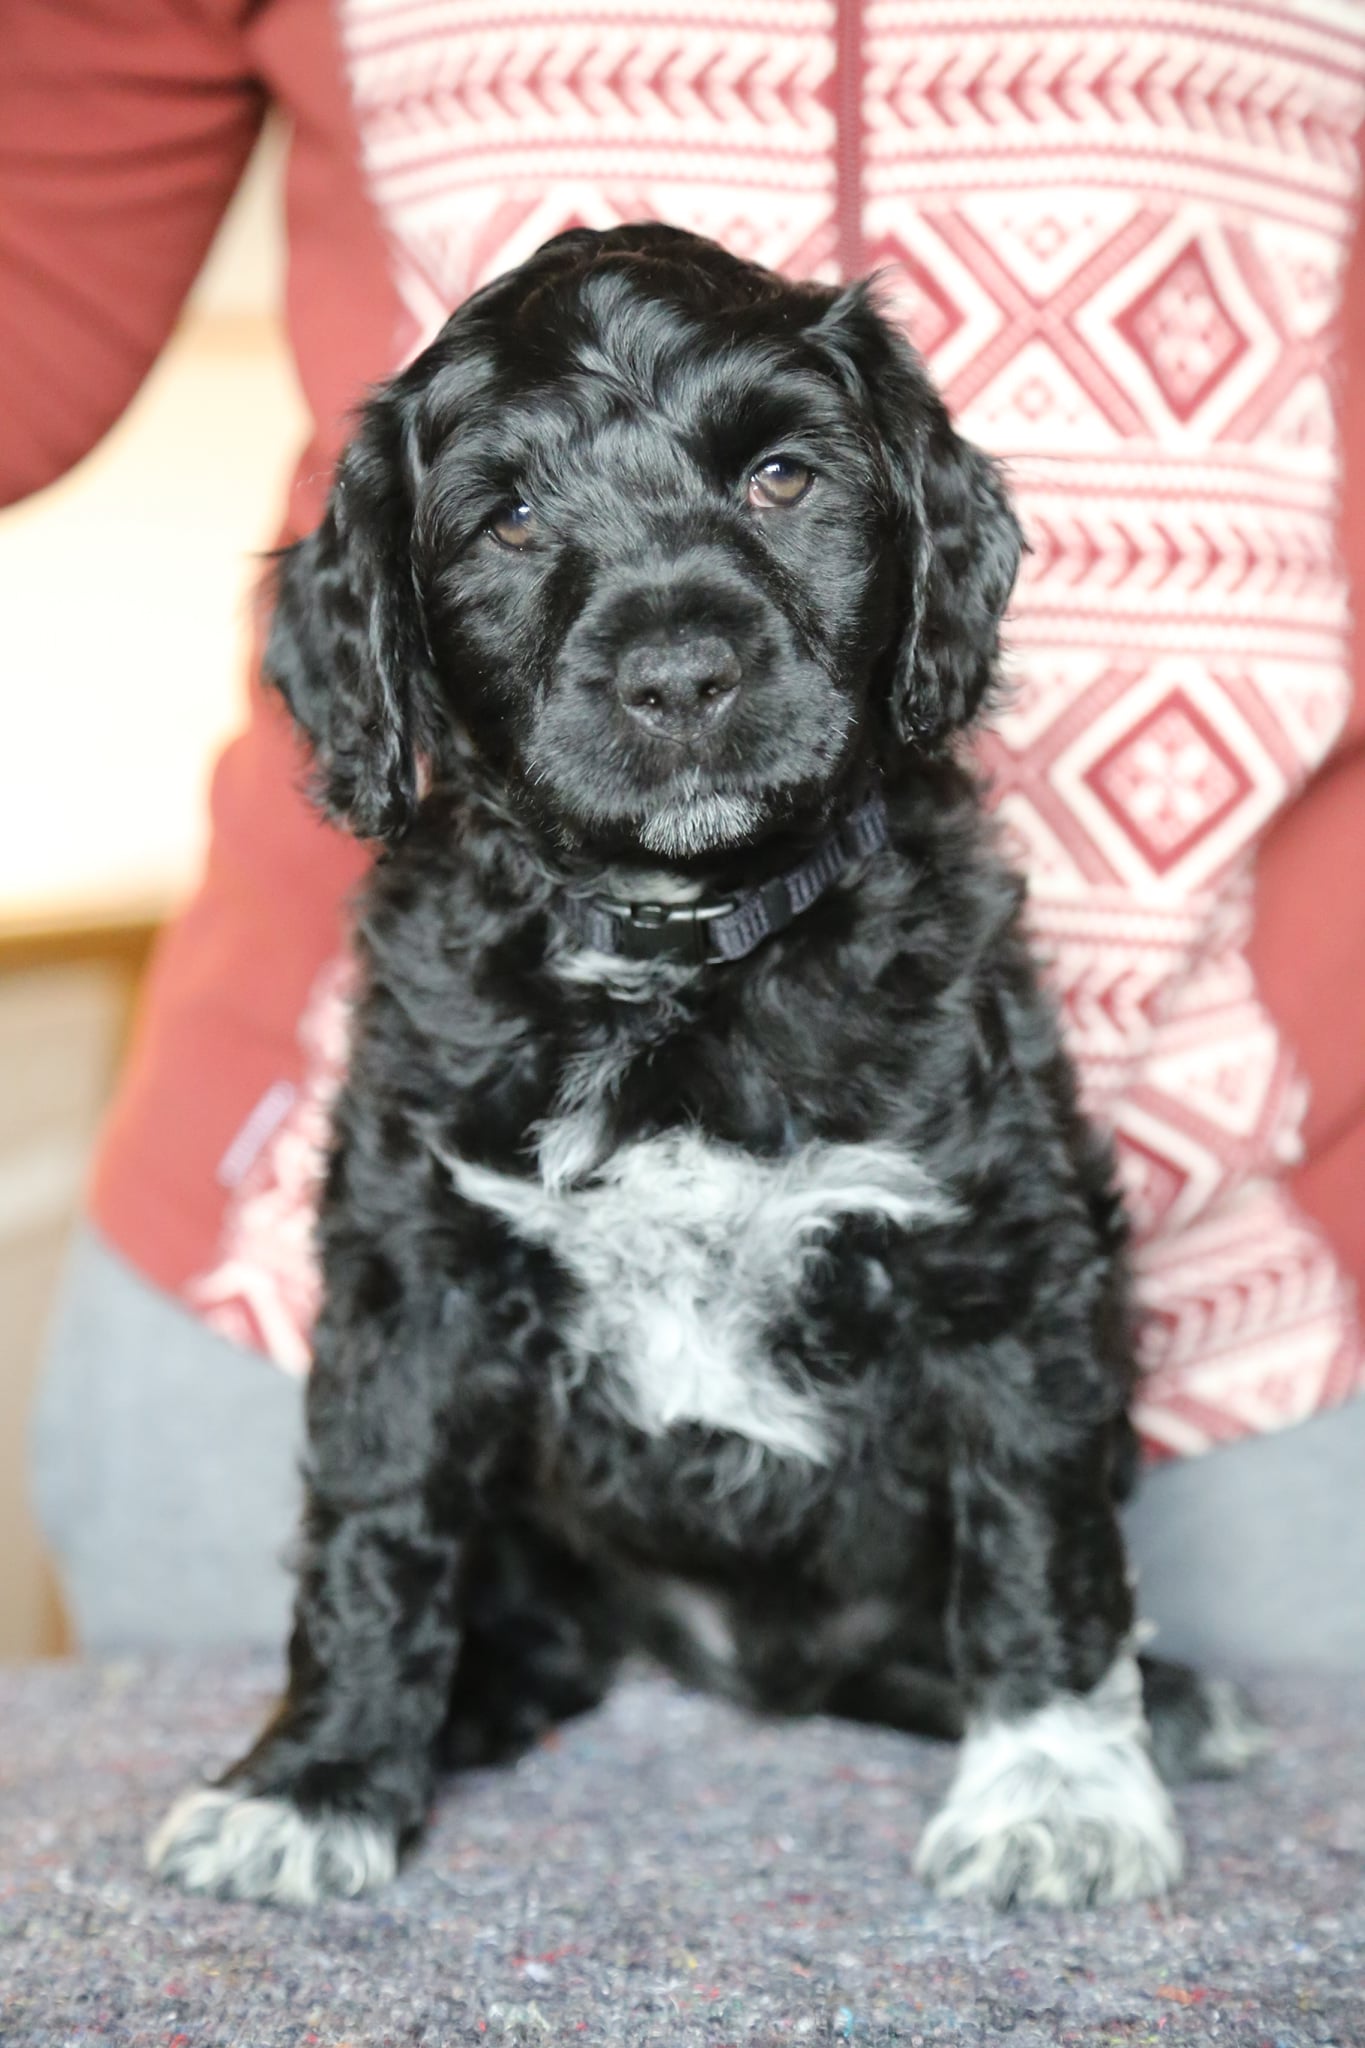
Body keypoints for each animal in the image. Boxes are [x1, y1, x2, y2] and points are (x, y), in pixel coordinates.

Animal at [148, 222, 1261, 1911]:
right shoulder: (419, 1257)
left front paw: (1056, 1791)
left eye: (784, 479)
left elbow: (1033, 1535)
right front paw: (315, 1781)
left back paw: (1161, 1702)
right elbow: (377, 1521)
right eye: (510, 520)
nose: (678, 674)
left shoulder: (997, 1255)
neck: (680, 959)